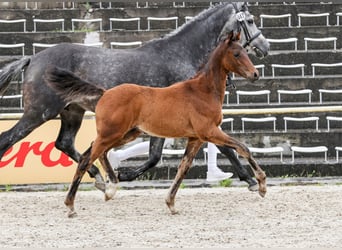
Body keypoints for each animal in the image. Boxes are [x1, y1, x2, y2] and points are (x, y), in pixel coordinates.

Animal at [0, 1, 268, 191]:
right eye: (250, 20)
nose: (265, 47)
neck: (181, 55)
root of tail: (32, 58)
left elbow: (159, 155)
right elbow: (166, 155)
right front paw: (250, 179)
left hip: (72, 111)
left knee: (64, 143)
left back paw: (98, 178)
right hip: (39, 112)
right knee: (8, 139)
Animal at [45, 32, 266, 217]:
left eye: (245, 51)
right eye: (236, 53)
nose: (255, 74)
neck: (202, 91)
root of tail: (105, 93)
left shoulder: (195, 138)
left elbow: (183, 168)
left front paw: (171, 204)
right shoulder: (209, 132)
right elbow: (243, 148)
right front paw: (261, 184)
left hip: (125, 134)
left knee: (94, 153)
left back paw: (110, 188)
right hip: (111, 134)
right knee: (86, 159)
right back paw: (71, 206)